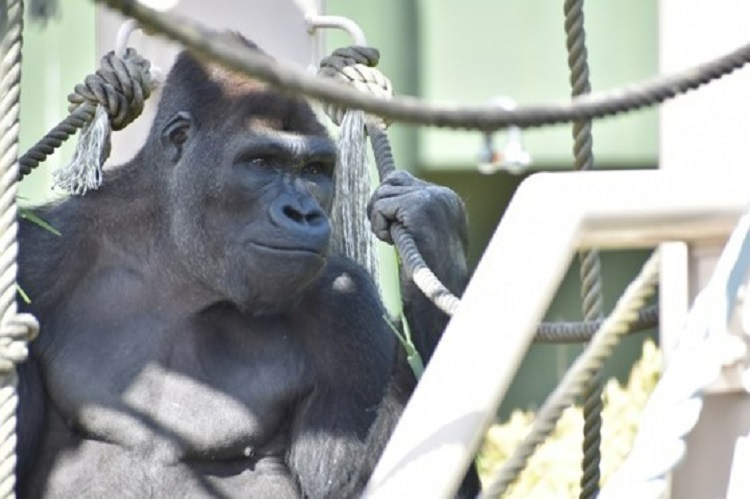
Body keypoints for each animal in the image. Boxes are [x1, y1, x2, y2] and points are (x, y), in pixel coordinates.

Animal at [16, 40, 482, 499]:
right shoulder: (39, 257)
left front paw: (434, 229)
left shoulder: (348, 308)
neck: (177, 260)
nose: (303, 213)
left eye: (314, 170)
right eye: (261, 163)